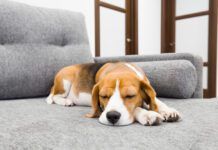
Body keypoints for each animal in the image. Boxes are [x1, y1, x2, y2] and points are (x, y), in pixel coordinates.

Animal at [46, 62, 181, 126]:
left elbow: (157, 101)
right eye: (103, 96)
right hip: (65, 80)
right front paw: (147, 114)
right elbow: (136, 109)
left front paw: (168, 111)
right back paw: (66, 101)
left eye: (130, 96)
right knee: (54, 96)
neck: (119, 69)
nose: (112, 116)